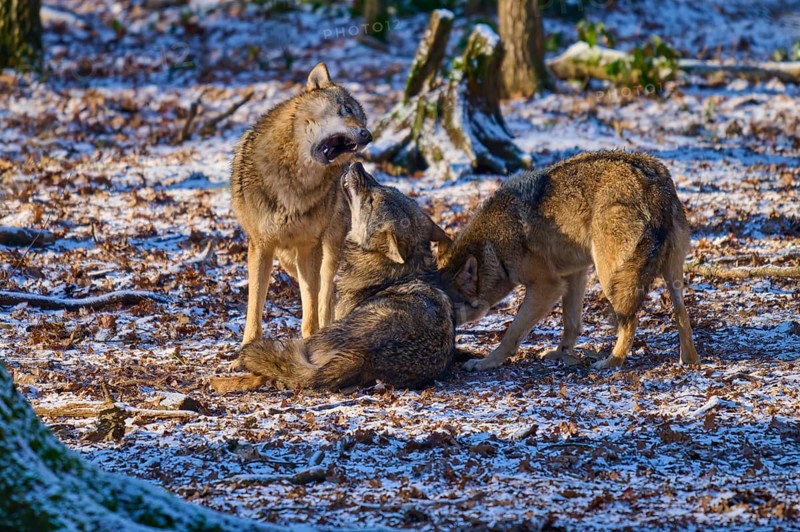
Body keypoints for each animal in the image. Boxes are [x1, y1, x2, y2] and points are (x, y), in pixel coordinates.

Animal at [231, 63, 372, 345]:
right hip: (286, 258)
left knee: (326, 293)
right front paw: (247, 347)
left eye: (364, 120)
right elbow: (255, 306)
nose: (368, 135)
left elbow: (311, 307)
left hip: (328, 248)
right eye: (346, 110)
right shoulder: (261, 246)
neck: (294, 183)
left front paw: (311, 340)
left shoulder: (309, 246)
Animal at [437, 151, 700, 370]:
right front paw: (562, 353)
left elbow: (512, 333)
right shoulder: (574, 274)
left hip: (611, 279)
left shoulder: (547, 286)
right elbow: (571, 323)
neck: (493, 246)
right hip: (671, 275)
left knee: (631, 321)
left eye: (450, 309)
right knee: (682, 314)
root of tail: (653, 187)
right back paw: (688, 360)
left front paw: (485, 363)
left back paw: (611, 362)